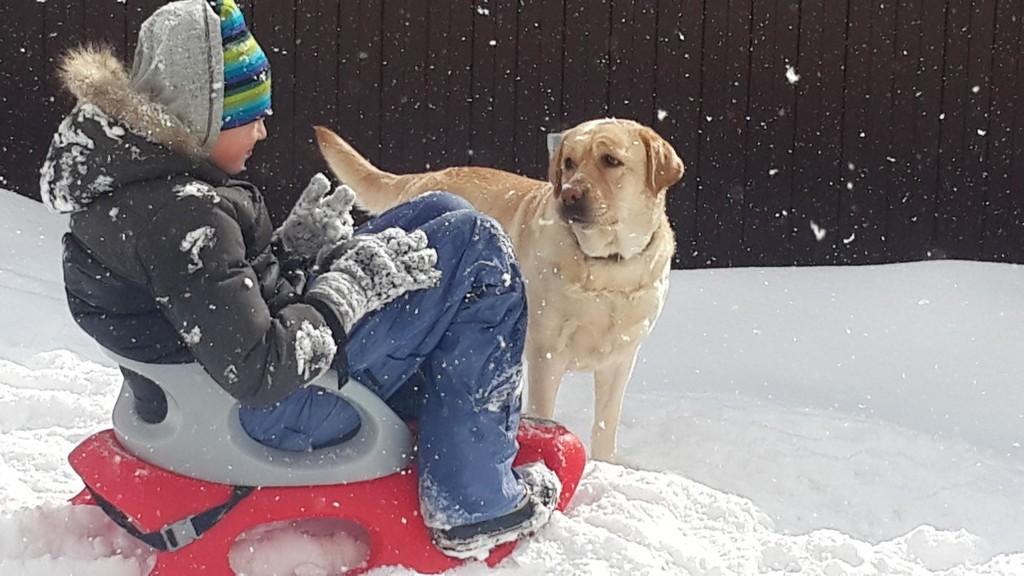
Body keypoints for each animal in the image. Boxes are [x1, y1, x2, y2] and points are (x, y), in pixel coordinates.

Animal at [315, 118, 684, 459]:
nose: (569, 194)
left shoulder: (620, 360)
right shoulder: (546, 354)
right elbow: (544, 411)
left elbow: (605, 427)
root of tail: (423, 177)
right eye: (569, 162)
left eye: (610, 160)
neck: (606, 268)